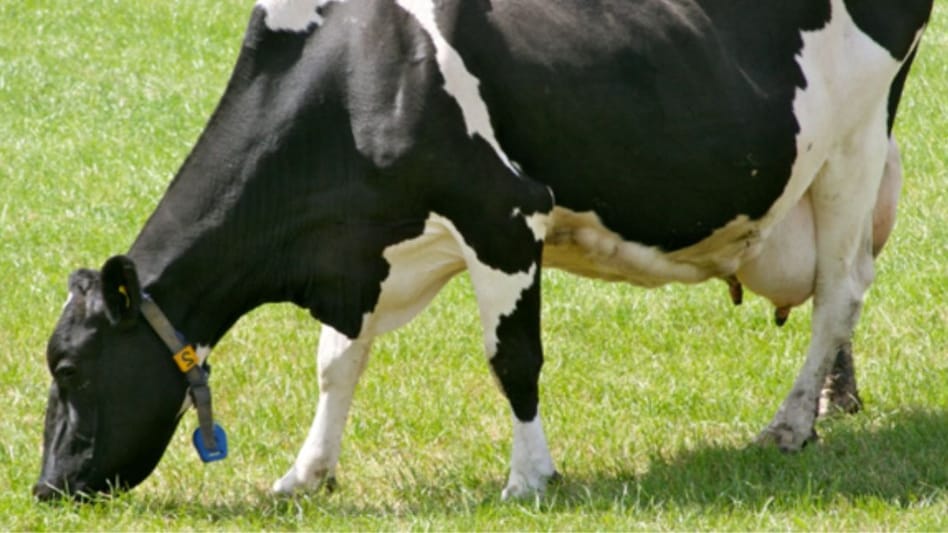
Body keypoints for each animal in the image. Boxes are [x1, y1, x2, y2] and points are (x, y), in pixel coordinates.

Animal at [35, 0, 933, 501]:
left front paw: (529, 475)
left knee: (839, 290)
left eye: (70, 369)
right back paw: (832, 403)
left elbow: (514, 359)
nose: (46, 487)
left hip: (852, 145)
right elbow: (336, 363)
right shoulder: (364, 250)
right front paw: (307, 473)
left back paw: (790, 422)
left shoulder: (503, 215)